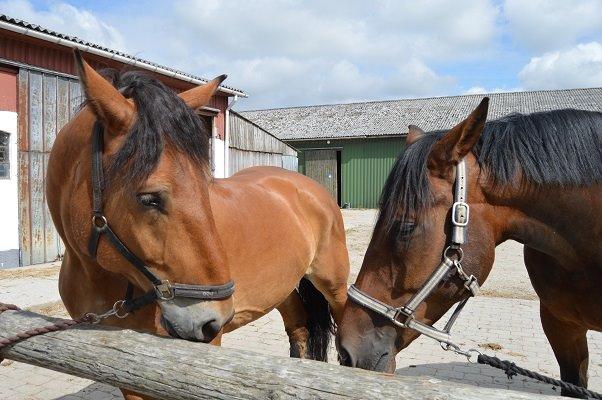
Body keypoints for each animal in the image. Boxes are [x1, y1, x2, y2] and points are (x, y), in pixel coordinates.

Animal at [47, 51, 346, 398]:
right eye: (149, 198)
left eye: (207, 185)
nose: (214, 319)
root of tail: (306, 185)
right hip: (283, 288)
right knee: (298, 333)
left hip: (334, 286)